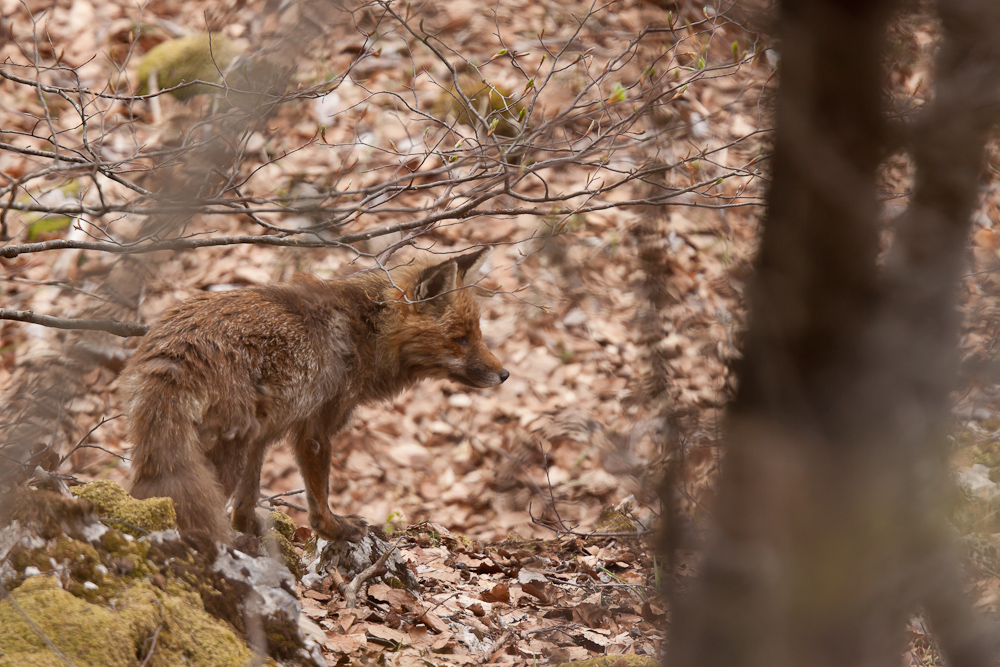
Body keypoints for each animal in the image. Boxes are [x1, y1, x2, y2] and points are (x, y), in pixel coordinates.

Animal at [118, 249, 508, 544]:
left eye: (478, 333)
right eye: (460, 339)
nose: (504, 374)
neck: (367, 329)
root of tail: (176, 348)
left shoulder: (264, 434)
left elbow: (247, 498)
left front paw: (251, 531)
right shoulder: (315, 430)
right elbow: (320, 499)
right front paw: (336, 530)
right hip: (223, 453)